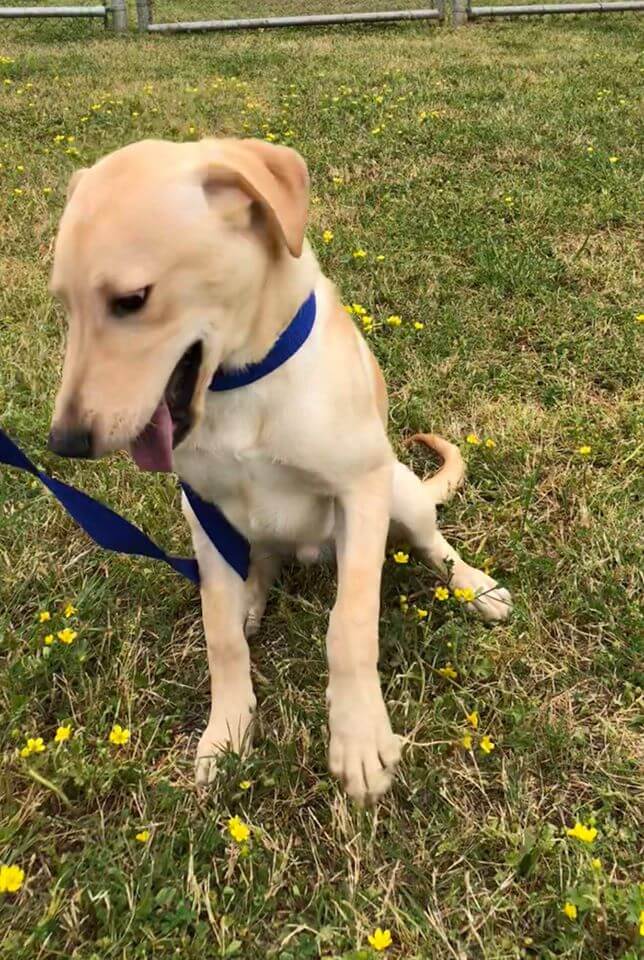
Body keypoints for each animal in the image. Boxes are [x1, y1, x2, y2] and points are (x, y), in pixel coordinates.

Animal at [49, 137, 512, 804]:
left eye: (131, 301)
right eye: (63, 304)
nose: (64, 443)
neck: (241, 384)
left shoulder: (361, 491)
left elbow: (350, 624)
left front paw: (359, 736)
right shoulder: (202, 509)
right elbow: (219, 634)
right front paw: (227, 729)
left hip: (400, 489)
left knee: (432, 543)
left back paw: (475, 586)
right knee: (259, 565)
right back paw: (251, 596)